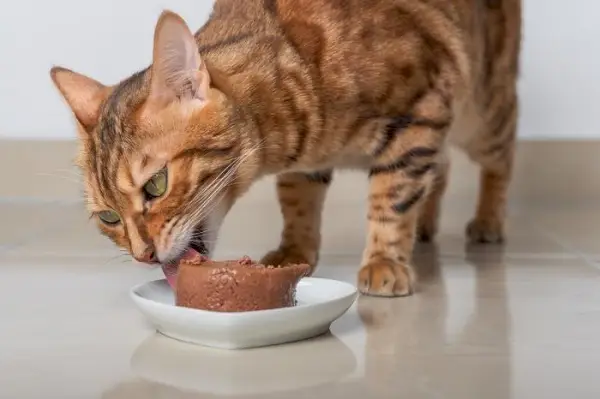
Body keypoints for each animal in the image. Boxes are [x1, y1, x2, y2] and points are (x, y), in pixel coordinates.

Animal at [50, 0, 520, 298]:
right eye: (109, 218)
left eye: (156, 185)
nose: (143, 256)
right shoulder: (308, 162)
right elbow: (297, 201)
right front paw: (295, 250)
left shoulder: (418, 115)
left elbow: (391, 199)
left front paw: (385, 260)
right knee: (441, 167)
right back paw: (427, 223)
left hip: (480, 109)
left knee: (500, 153)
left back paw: (489, 220)